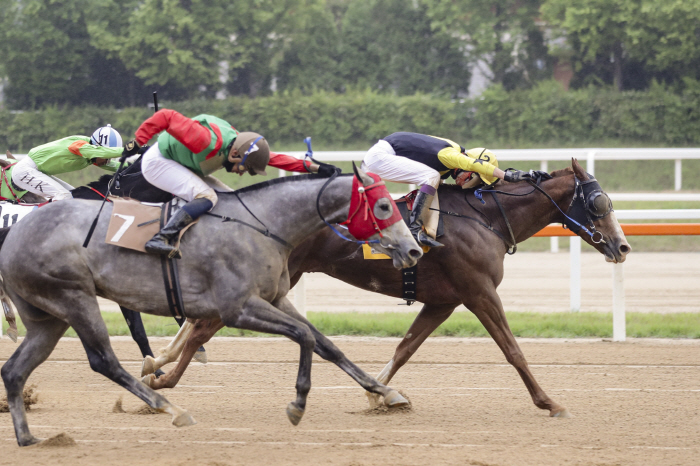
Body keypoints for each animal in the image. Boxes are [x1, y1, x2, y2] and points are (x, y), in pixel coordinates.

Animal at [0, 169, 422, 446]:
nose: (414, 249)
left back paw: (29, 438)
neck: (263, 224)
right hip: (74, 296)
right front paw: (298, 403)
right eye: (384, 206)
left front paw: (384, 391)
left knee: (14, 370)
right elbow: (303, 336)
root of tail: (13, 232)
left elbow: (326, 344)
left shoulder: (275, 298)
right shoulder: (237, 308)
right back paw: (170, 408)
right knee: (103, 360)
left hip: (48, 316)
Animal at [141, 160, 628, 418]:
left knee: (202, 325)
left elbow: (405, 347)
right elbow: (513, 350)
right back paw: (160, 376)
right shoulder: (479, 292)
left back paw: (159, 373)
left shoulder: (444, 301)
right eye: (599, 202)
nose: (622, 246)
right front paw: (549, 402)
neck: (484, 218)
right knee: (203, 327)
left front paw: (379, 393)